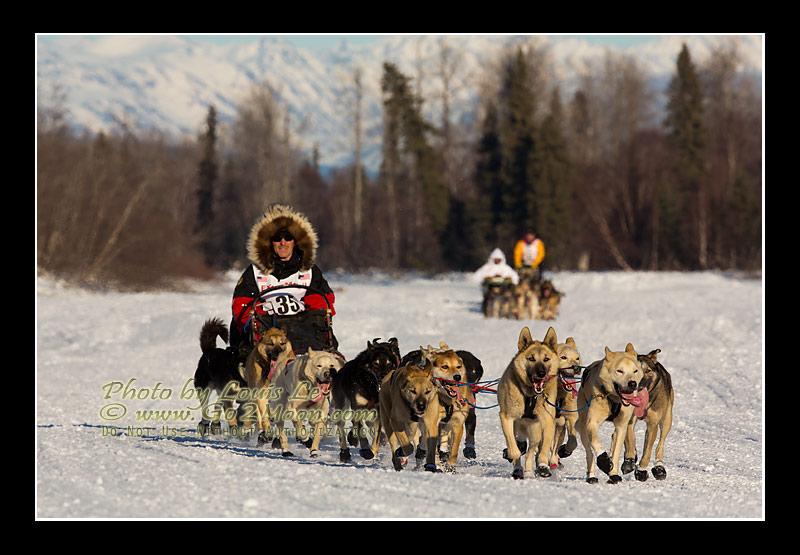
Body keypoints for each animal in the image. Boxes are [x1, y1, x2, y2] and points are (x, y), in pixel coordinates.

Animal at [496, 328, 560, 480]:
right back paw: (519, 469)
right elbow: (514, 450)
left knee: (531, 450)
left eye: (546, 359)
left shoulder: (547, 420)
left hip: (535, 430)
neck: (531, 396)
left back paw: (530, 471)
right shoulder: (506, 418)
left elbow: (543, 449)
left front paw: (543, 466)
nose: (541, 373)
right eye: (531, 358)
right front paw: (513, 456)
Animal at [576, 346, 644, 484]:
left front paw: (613, 474)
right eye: (619, 371)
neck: (614, 399)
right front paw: (604, 462)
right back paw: (591, 475)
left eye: (635, 371)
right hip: (583, 426)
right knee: (589, 453)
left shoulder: (621, 426)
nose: (632, 383)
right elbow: (596, 442)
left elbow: (616, 451)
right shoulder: (592, 423)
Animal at [620, 350, 680, 480]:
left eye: (647, 370)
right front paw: (629, 461)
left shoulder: (653, 425)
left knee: (660, 444)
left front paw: (641, 470)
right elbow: (630, 440)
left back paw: (659, 467)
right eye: (634, 370)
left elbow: (647, 451)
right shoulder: (629, 420)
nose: (638, 384)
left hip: (667, 419)